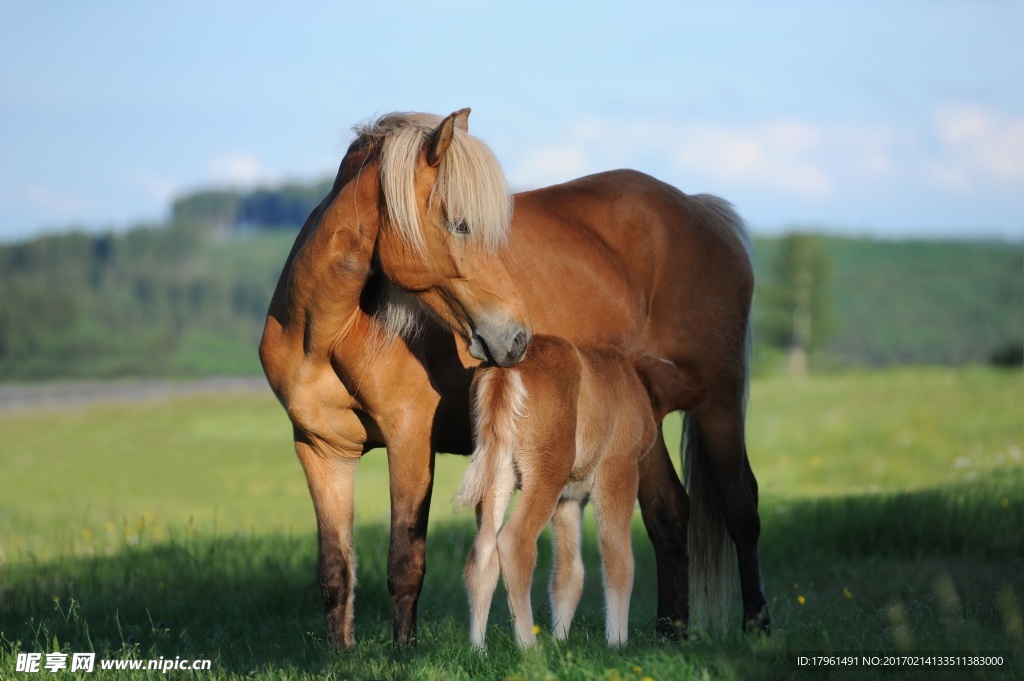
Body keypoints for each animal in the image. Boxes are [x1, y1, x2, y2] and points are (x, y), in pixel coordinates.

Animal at [456, 333, 655, 647]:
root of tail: (504, 370)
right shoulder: (619, 468)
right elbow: (619, 557)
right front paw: (617, 643)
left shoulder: (569, 498)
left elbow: (568, 575)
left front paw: (561, 640)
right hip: (547, 471)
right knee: (514, 543)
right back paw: (529, 647)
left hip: (496, 471)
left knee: (483, 551)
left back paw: (478, 649)